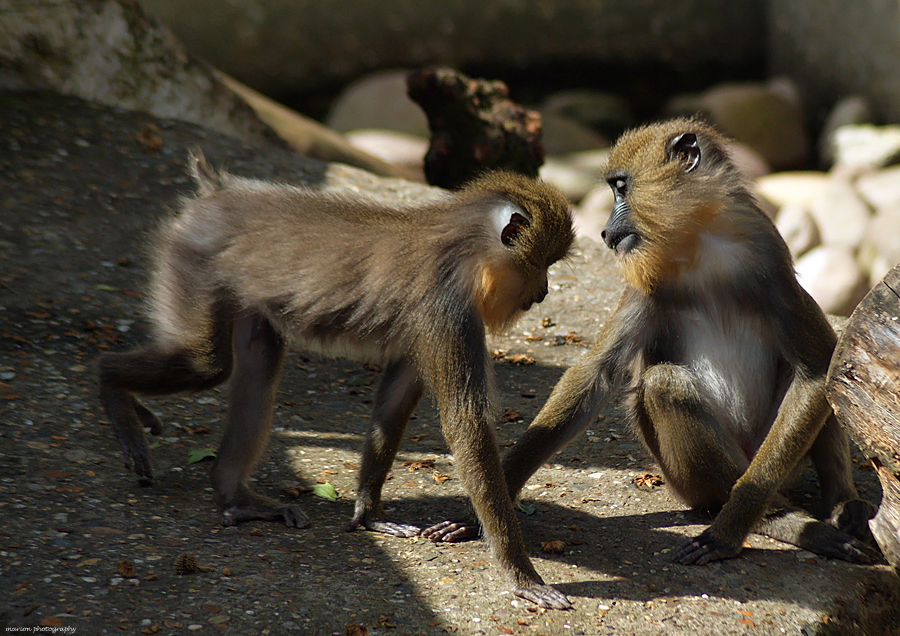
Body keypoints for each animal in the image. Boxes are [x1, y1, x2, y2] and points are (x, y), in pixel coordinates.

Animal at [97, 152, 575, 609]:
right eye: (542, 265)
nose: (545, 291)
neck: (463, 248)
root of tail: (219, 193)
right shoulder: (448, 308)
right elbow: (466, 425)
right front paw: (521, 573)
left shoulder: (427, 326)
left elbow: (396, 400)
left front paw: (368, 513)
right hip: (194, 261)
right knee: (207, 364)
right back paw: (111, 385)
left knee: (258, 361)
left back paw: (234, 496)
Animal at [426, 118, 879, 565]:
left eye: (621, 187)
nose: (606, 231)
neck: (699, 241)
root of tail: (748, 454)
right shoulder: (646, 279)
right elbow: (596, 375)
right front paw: (480, 510)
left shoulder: (766, 254)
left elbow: (816, 369)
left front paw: (730, 532)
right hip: (690, 481)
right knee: (665, 385)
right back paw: (780, 518)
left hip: (773, 453)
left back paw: (838, 505)